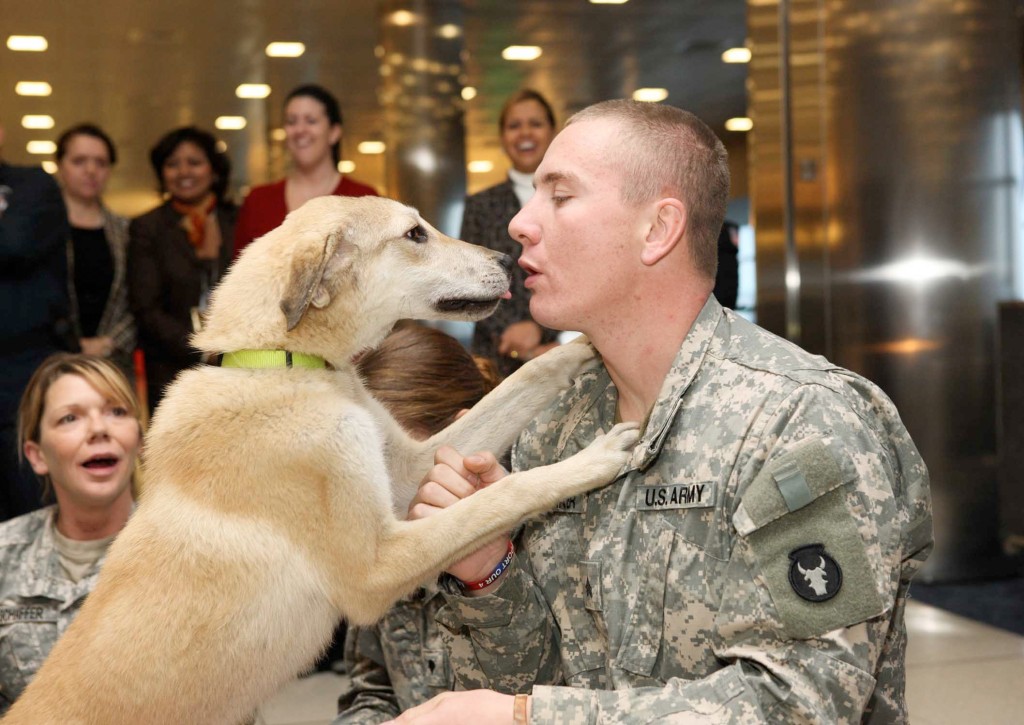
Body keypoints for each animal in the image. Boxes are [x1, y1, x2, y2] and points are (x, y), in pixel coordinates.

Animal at [4, 195, 634, 720]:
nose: (508, 257)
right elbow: (506, 492)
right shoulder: (377, 566)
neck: (280, 364)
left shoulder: (410, 468)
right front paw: (592, 459)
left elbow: (525, 378)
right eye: (414, 234)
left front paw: (582, 347)